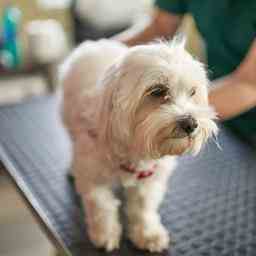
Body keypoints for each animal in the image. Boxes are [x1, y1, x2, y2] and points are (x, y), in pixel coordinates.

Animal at [60, 39, 218, 252]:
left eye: (192, 92)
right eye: (158, 91)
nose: (191, 123)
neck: (135, 150)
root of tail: (94, 43)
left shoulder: (150, 177)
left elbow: (143, 208)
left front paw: (147, 234)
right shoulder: (93, 175)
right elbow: (102, 205)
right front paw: (105, 233)